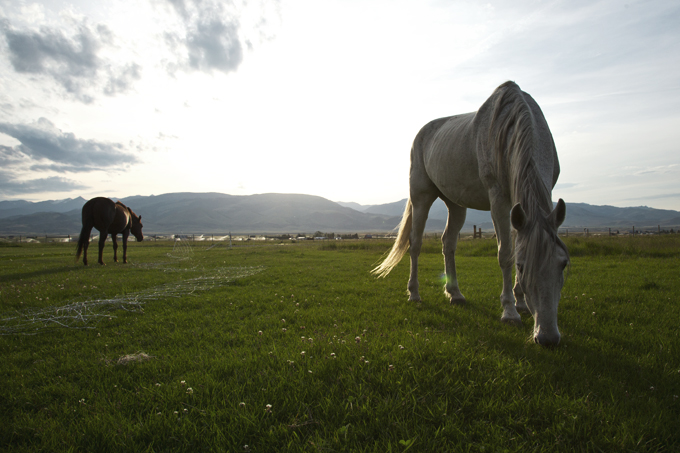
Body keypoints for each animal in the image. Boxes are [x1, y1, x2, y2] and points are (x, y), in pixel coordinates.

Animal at [374, 80, 572, 346]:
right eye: (521, 267)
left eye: (563, 264)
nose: (547, 337)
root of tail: (423, 132)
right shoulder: (499, 200)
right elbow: (505, 253)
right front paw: (510, 311)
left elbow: (518, 243)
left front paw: (520, 302)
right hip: (421, 197)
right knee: (415, 244)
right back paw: (414, 293)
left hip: (456, 204)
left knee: (448, 242)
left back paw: (455, 293)